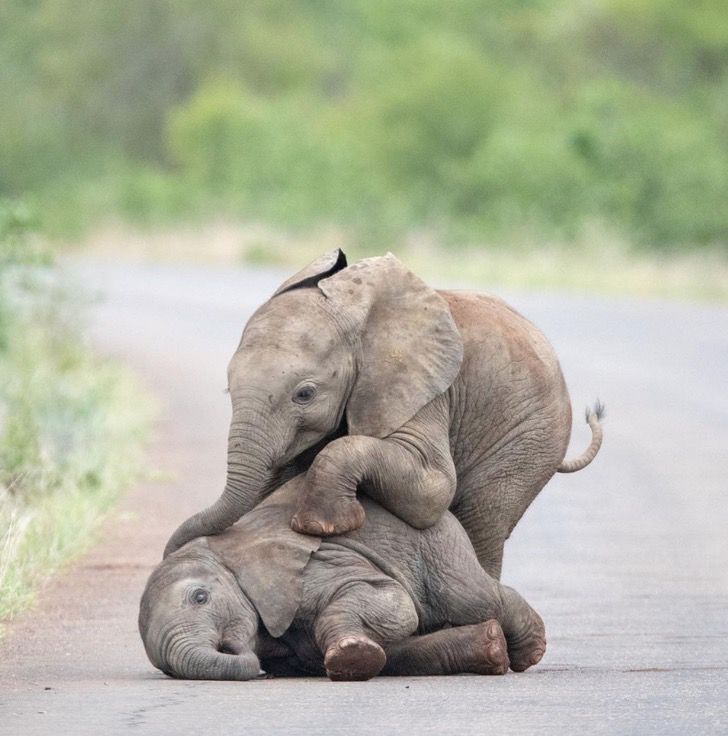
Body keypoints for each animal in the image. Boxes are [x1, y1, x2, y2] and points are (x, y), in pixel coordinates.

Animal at [139, 478, 544, 680]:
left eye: (200, 597)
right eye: (167, 670)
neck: (226, 552)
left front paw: (350, 655)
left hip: (436, 543)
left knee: (473, 597)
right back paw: (493, 649)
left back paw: (530, 649)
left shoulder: (315, 565)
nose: (234, 648)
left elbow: (393, 601)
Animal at [165, 250, 604, 576]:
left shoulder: (424, 391)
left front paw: (324, 525)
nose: (171, 554)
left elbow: (434, 489)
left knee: (484, 520)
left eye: (304, 395)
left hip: (532, 438)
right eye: (228, 389)